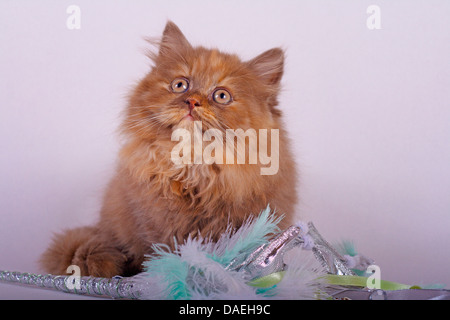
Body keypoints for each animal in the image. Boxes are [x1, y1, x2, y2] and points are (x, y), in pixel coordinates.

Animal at [40, 21, 298, 278]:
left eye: (222, 96)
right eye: (180, 85)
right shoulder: (153, 223)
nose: (192, 101)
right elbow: (160, 252)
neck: (193, 167)